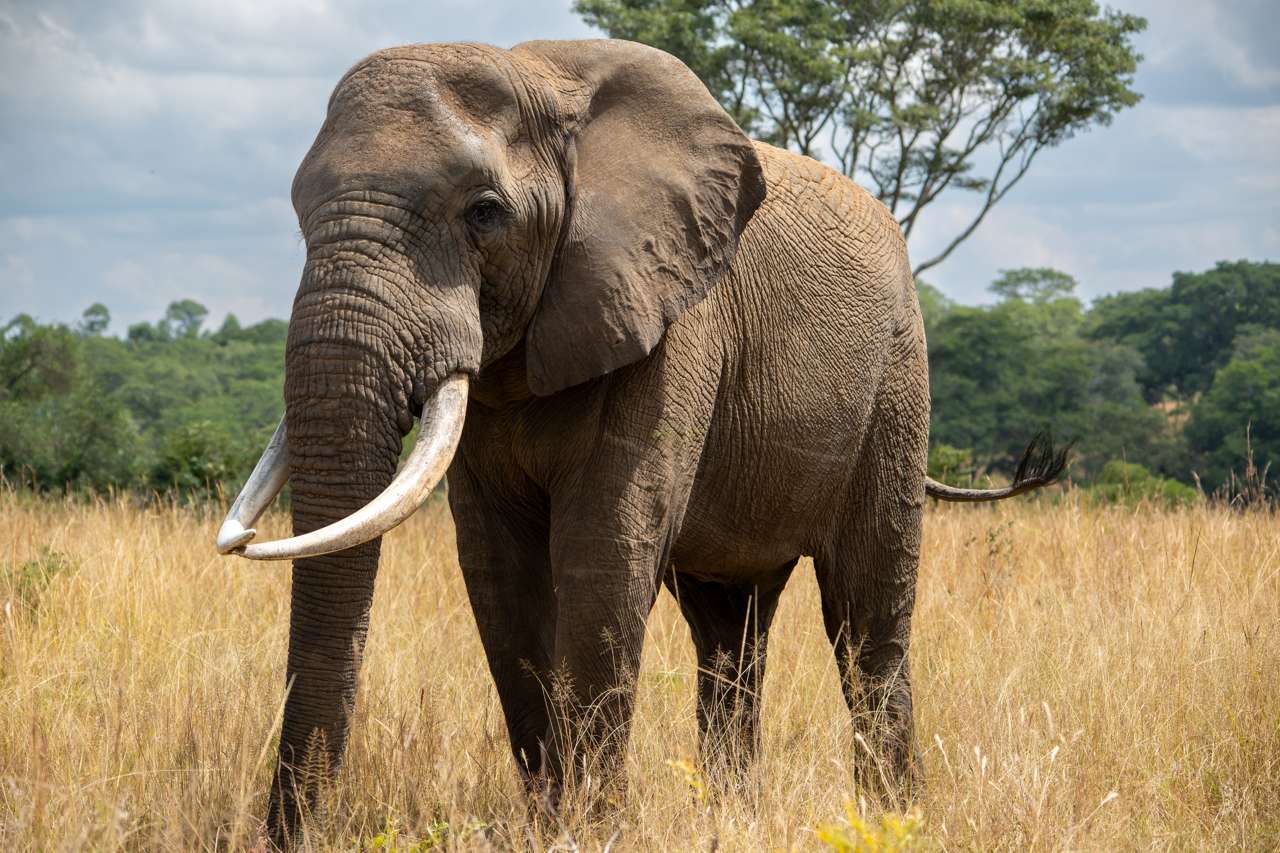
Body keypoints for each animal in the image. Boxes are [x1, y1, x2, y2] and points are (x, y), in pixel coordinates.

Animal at [215, 38, 1067, 845]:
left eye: (484, 212)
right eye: (298, 212)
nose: (281, 838)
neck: (545, 85)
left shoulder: (672, 319)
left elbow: (603, 551)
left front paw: (588, 831)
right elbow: (498, 571)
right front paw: (551, 823)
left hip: (896, 380)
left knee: (868, 619)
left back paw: (893, 818)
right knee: (730, 632)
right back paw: (733, 815)